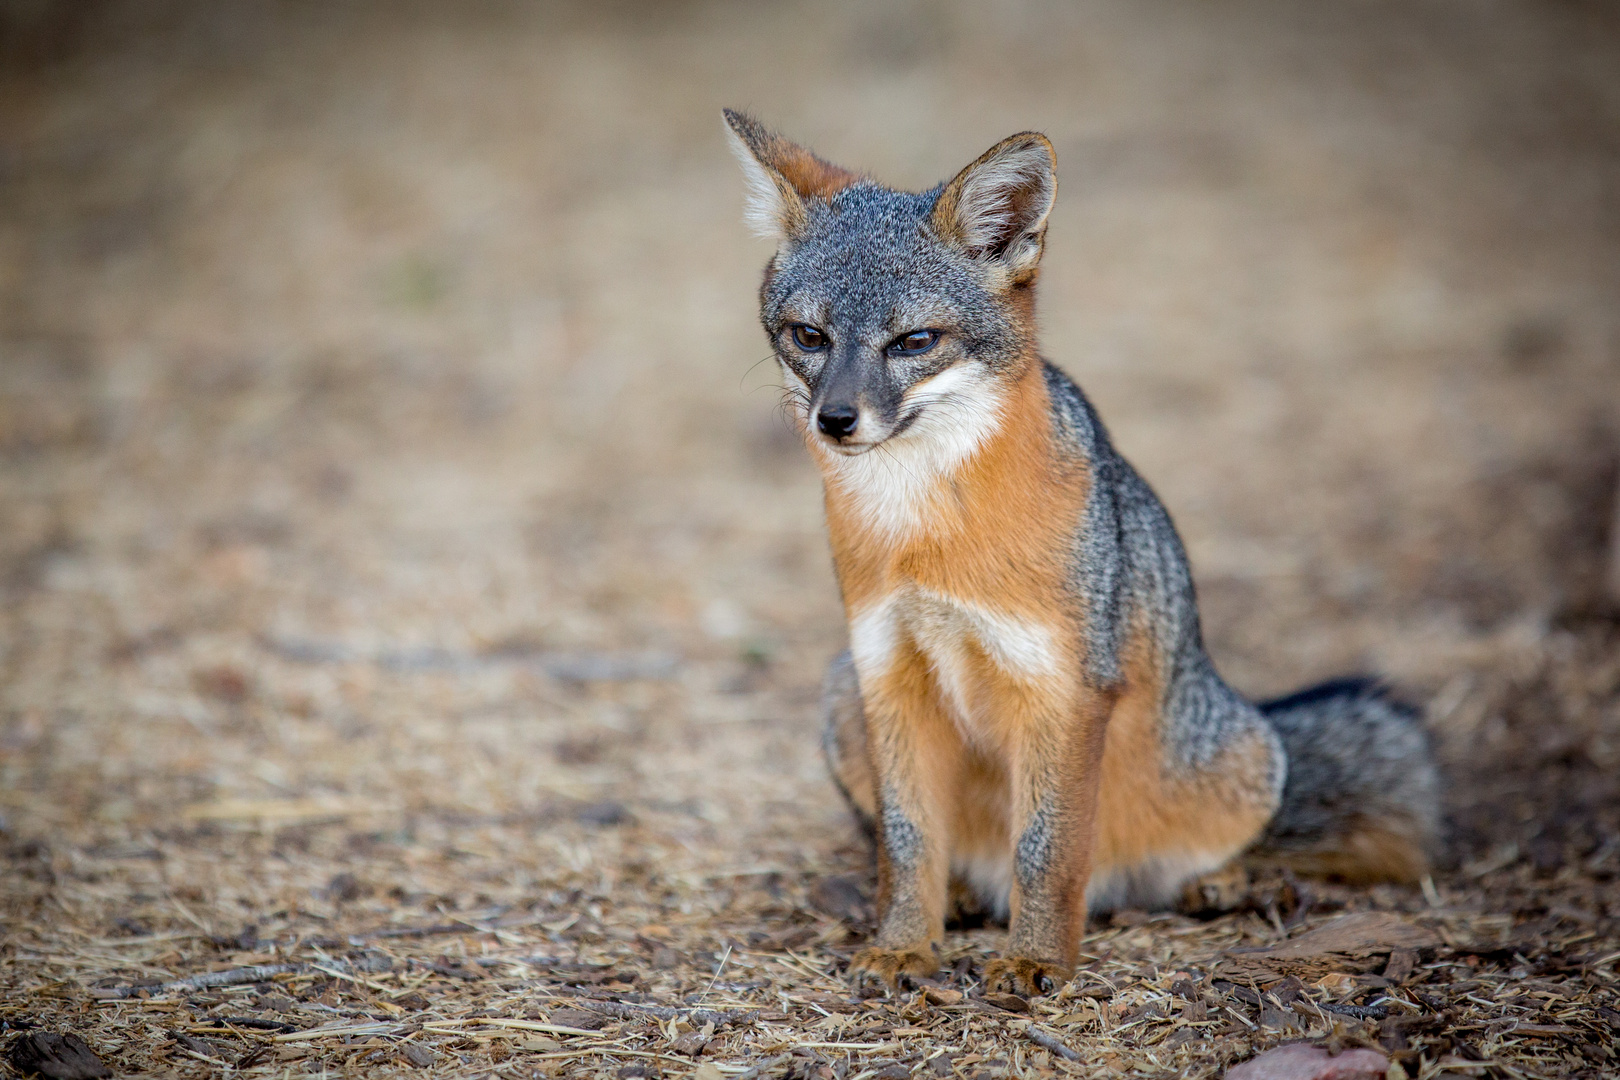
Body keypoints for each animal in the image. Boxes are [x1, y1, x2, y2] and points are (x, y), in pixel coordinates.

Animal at [729, 110, 1438, 997]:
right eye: (809, 336)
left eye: (914, 341)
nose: (836, 420)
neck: (924, 533)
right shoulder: (887, 670)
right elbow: (906, 837)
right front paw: (904, 944)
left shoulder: (1063, 687)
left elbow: (1047, 846)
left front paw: (1035, 958)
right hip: (839, 694)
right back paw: (963, 896)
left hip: (1238, 757)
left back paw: (1225, 881)